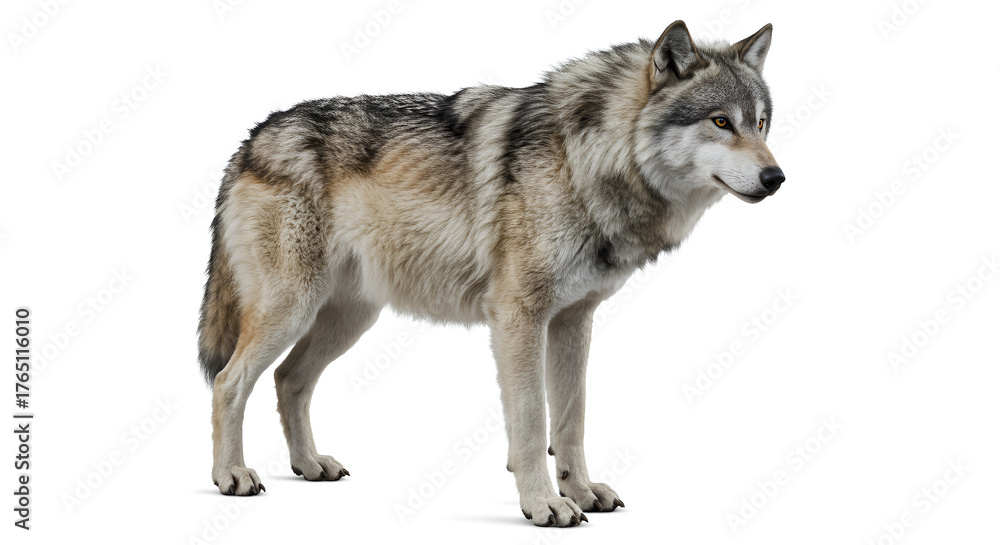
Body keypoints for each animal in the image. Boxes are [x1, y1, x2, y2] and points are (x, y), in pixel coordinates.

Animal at [198, 20, 784, 526]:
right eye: (720, 122)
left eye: (760, 123)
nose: (776, 177)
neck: (586, 160)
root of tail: (251, 139)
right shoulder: (518, 317)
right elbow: (531, 421)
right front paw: (544, 504)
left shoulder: (574, 321)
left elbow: (571, 420)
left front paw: (580, 492)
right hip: (292, 309)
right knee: (229, 381)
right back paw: (231, 475)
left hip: (348, 320)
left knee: (288, 380)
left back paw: (309, 465)